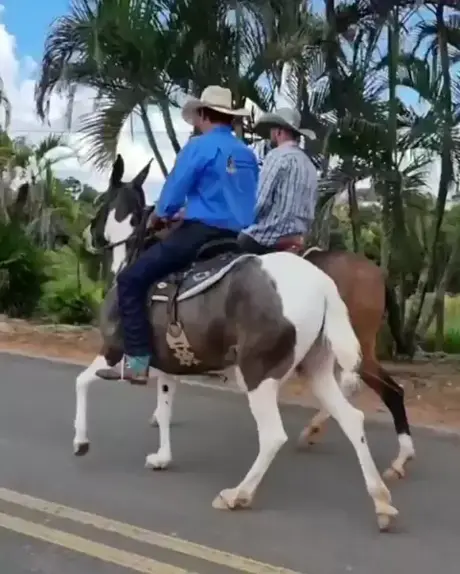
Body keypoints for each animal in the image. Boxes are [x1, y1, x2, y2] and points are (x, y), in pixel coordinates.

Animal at [75, 154, 398, 531]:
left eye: (101, 202)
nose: (86, 235)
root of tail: (322, 284)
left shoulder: (113, 348)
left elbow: (82, 382)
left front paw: (81, 441)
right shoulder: (169, 363)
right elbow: (165, 407)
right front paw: (162, 457)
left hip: (260, 372)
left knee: (274, 435)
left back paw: (238, 495)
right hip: (316, 368)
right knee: (353, 419)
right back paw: (381, 500)